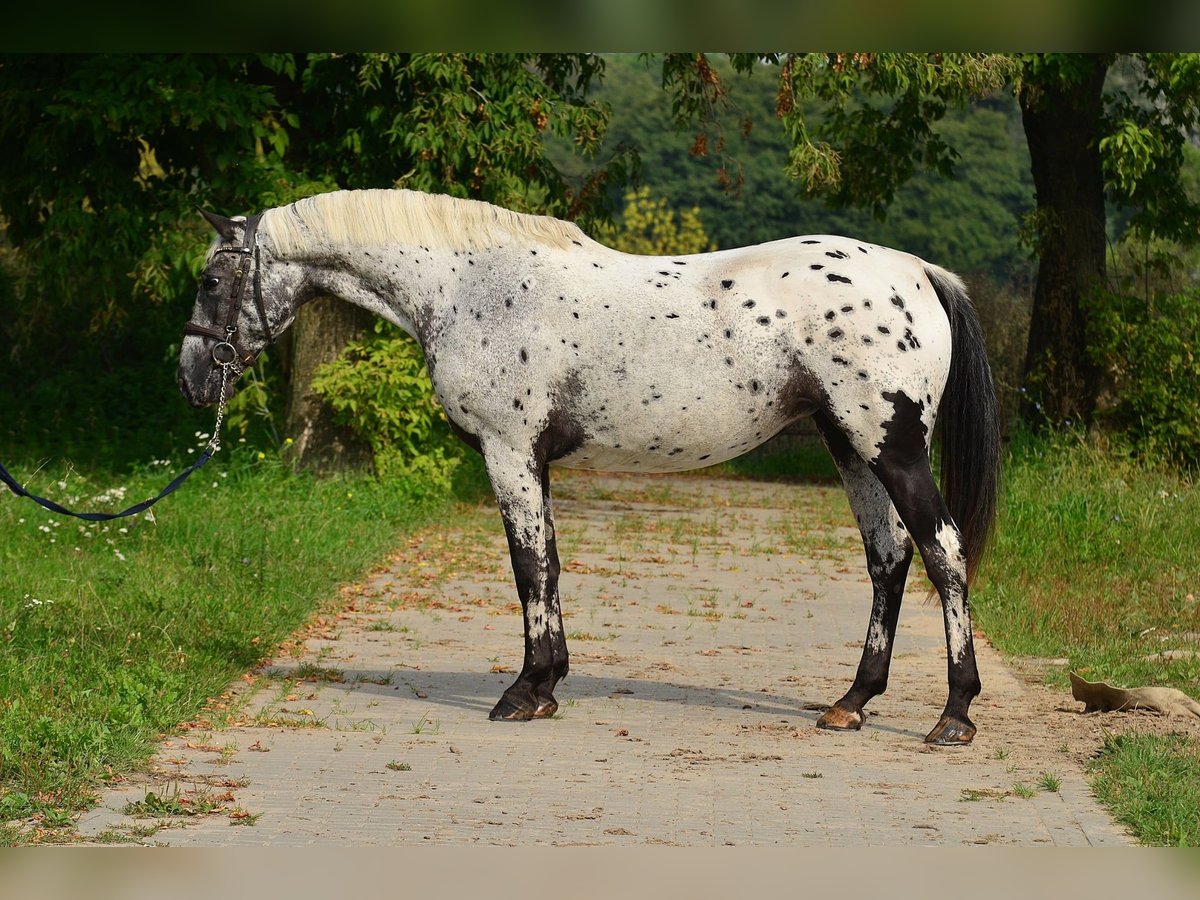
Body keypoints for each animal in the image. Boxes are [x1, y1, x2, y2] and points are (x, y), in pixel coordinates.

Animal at [179, 188, 1000, 745]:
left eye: (212, 282)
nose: (191, 379)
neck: (470, 286)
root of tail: (915, 271)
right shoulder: (530, 460)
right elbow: (549, 562)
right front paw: (547, 684)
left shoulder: (509, 452)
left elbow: (528, 567)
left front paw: (522, 692)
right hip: (850, 447)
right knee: (889, 560)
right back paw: (851, 703)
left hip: (891, 448)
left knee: (944, 551)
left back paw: (954, 714)